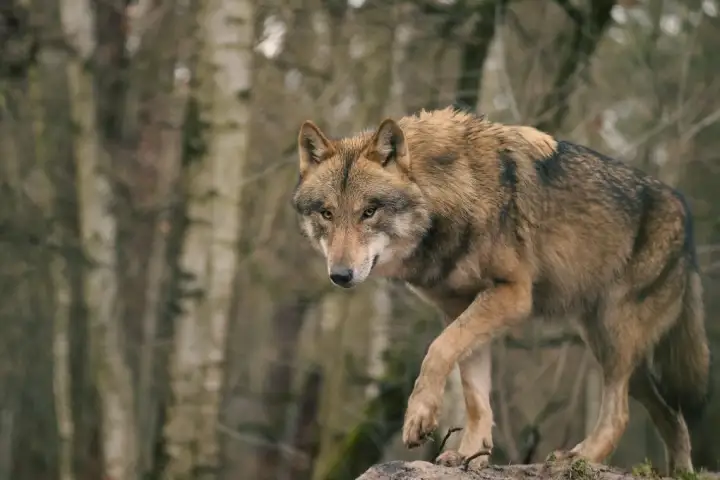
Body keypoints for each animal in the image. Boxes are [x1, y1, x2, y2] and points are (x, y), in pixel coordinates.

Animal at [290, 107, 711, 474]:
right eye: (327, 213)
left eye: (369, 212)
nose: (340, 275)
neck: (456, 192)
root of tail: (686, 212)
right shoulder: (459, 307)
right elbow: (475, 393)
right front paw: (470, 455)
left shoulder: (511, 295)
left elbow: (437, 350)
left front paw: (420, 416)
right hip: (613, 350)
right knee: (671, 416)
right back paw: (677, 470)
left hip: (614, 340)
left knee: (621, 414)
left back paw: (582, 457)